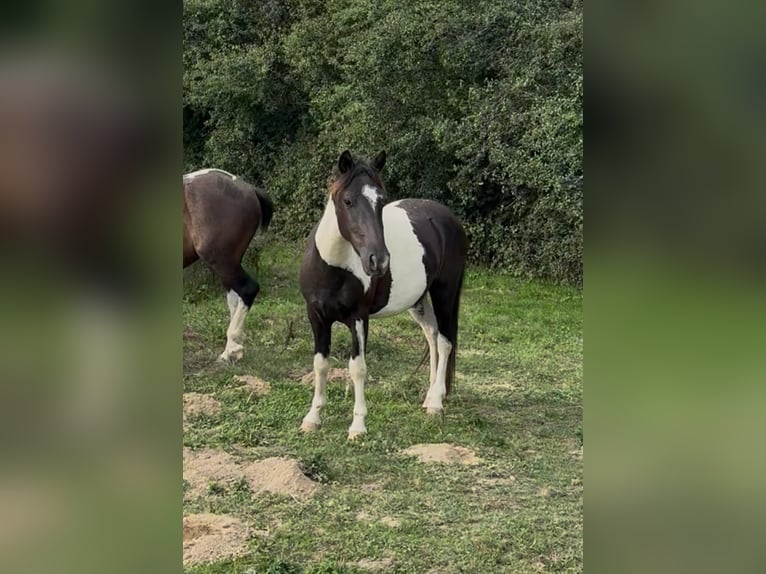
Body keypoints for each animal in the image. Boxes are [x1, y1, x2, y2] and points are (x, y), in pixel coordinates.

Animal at [183, 169, 273, 361]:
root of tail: (249, 189)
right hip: (227, 265)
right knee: (234, 297)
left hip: (220, 260)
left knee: (248, 289)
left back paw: (232, 348)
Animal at [299, 150, 467, 439]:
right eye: (348, 201)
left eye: (381, 201)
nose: (378, 260)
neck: (334, 268)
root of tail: (448, 218)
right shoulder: (317, 317)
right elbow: (320, 364)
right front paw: (313, 417)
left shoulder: (358, 319)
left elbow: (357, 369)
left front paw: (358, 426)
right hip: (419, 301)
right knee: (432, 336)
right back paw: (429, 395)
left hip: (444, 294)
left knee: (445, 342)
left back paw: (436, 402)